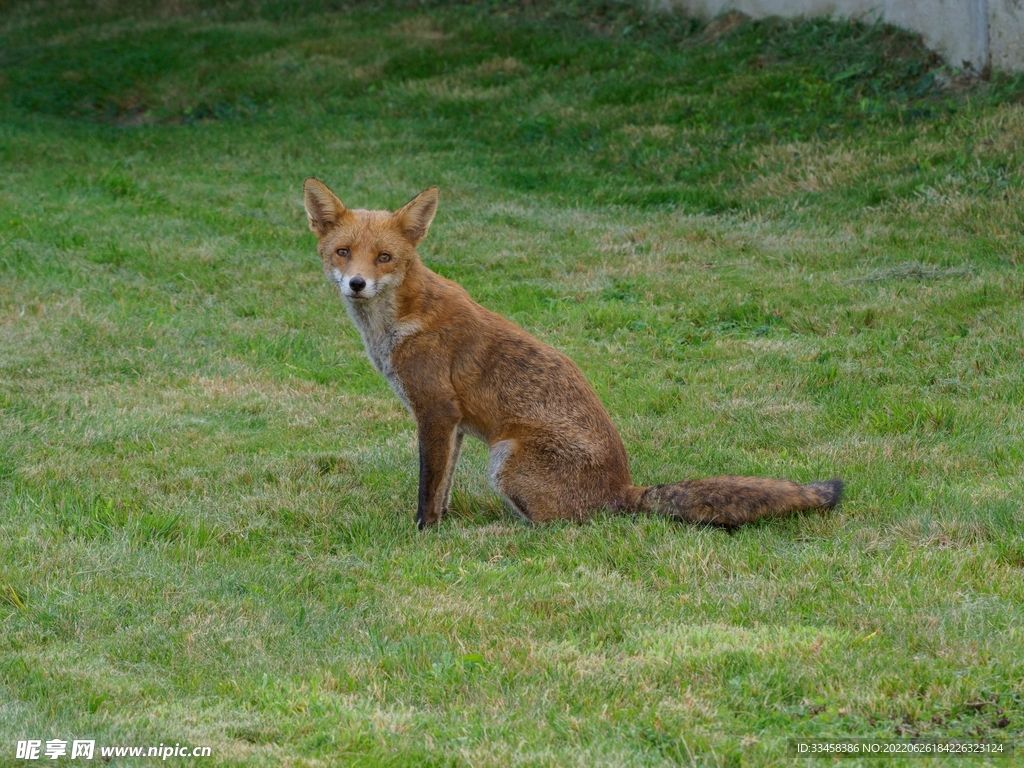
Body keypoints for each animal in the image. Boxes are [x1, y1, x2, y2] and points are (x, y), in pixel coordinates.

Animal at [299, 178, 843, 532]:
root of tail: (624, 489)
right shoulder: (452, 426)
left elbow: (428, 491)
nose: (357, 283)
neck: (398, 322)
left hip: (505, 458)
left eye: (384, 258)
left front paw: (425, 535)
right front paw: (444, 524)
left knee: (559, 529)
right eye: (343, 252)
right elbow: (445, 486)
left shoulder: (435, 410)